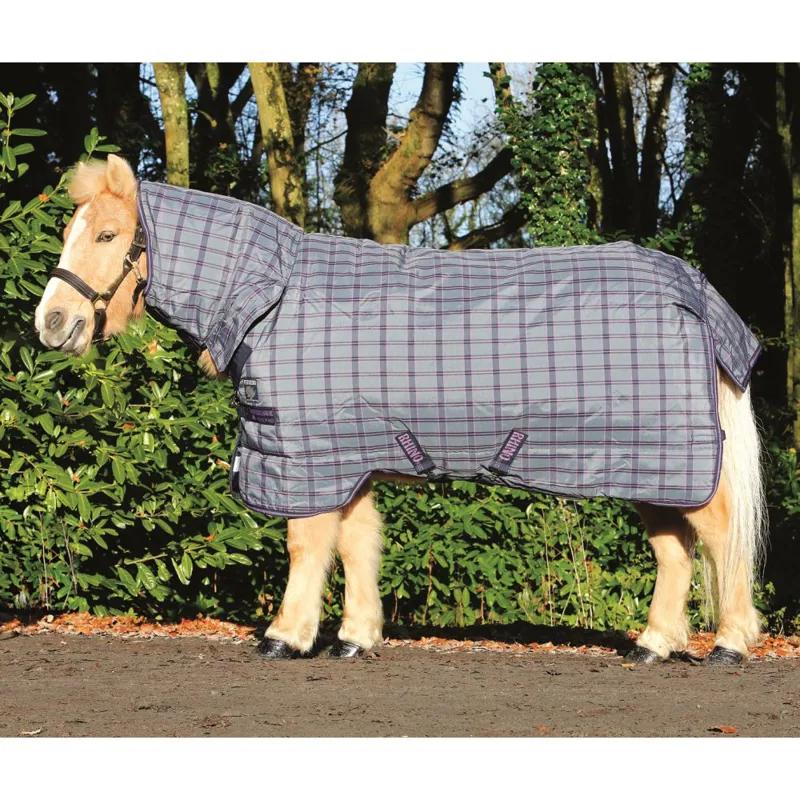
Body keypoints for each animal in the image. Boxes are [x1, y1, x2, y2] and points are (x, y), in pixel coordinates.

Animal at [34, 154, 767, 665]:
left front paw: (285, 635)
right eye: (72, 231)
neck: (274, 300)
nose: (52, 322)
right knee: (673, 552)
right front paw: (355, 637)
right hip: (649, 463)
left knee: (720, 534)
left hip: (677, 456)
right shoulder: (347, 456)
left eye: (108, 234)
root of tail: (695, 291)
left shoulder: (308, 456)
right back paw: (653, 644)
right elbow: (358, 542)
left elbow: (306, 543)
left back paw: (730, 643)